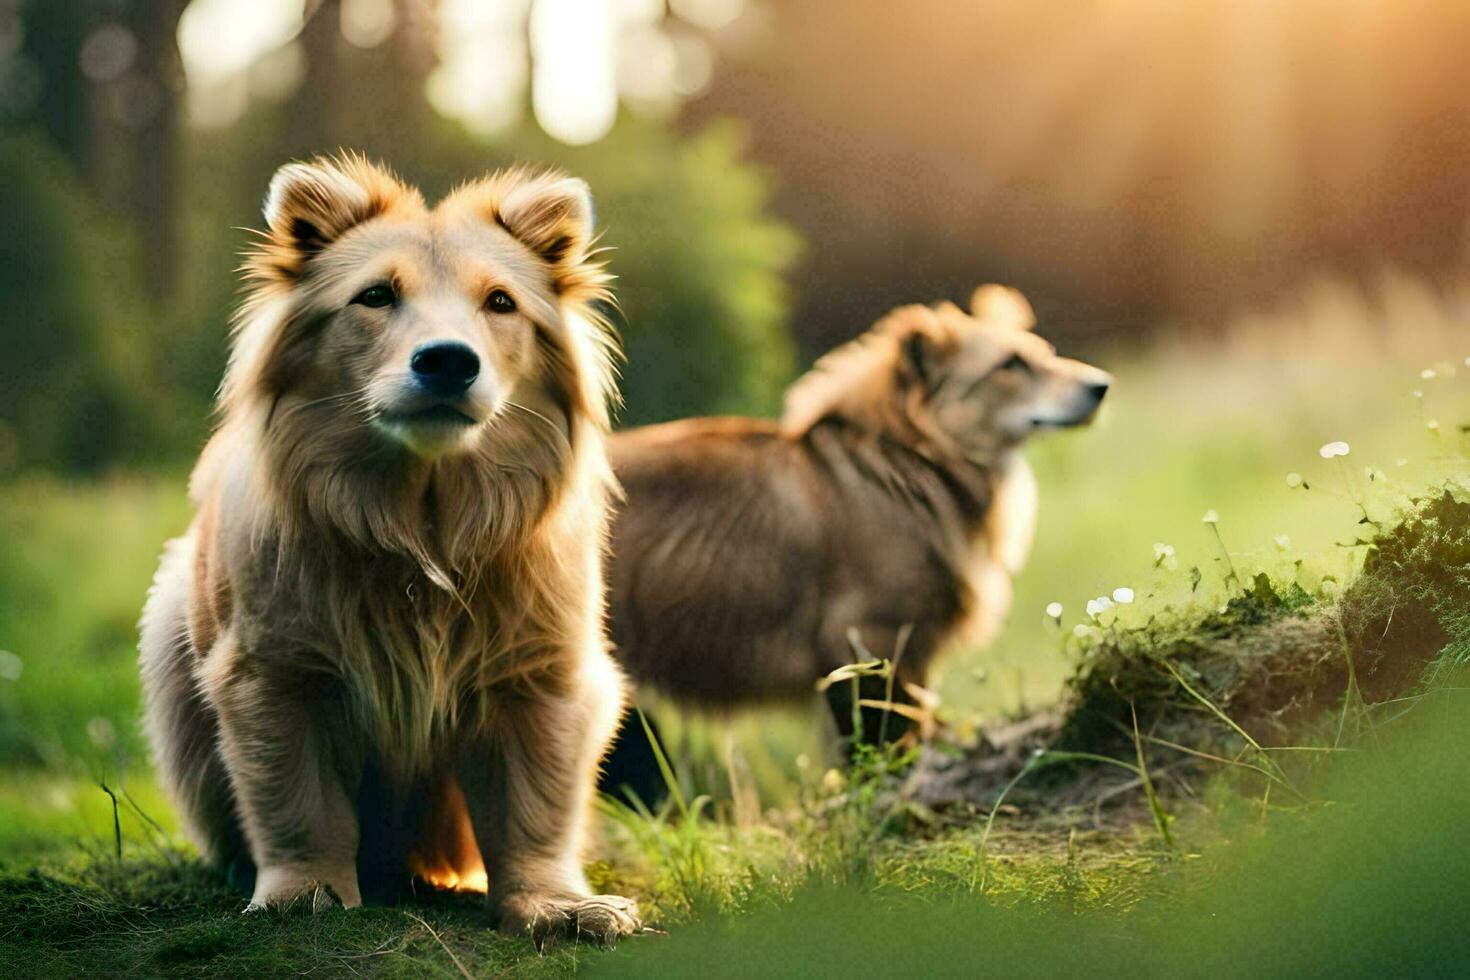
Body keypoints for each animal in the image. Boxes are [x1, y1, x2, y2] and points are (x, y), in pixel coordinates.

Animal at [140, 157, 640, 946]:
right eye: (375, 295)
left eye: (500, 302)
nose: (448, 362)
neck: (419, 521)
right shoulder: (275, 670)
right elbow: (297, 798)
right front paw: (304, 892)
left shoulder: (537, 671)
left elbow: (534, 803)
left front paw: (554, 903)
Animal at [602, 285, 1105, 799]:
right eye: (1011, 364)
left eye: (1044, 353)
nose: (1100, 385)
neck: (903, 461)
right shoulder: (866, 638)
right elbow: (882, 738)